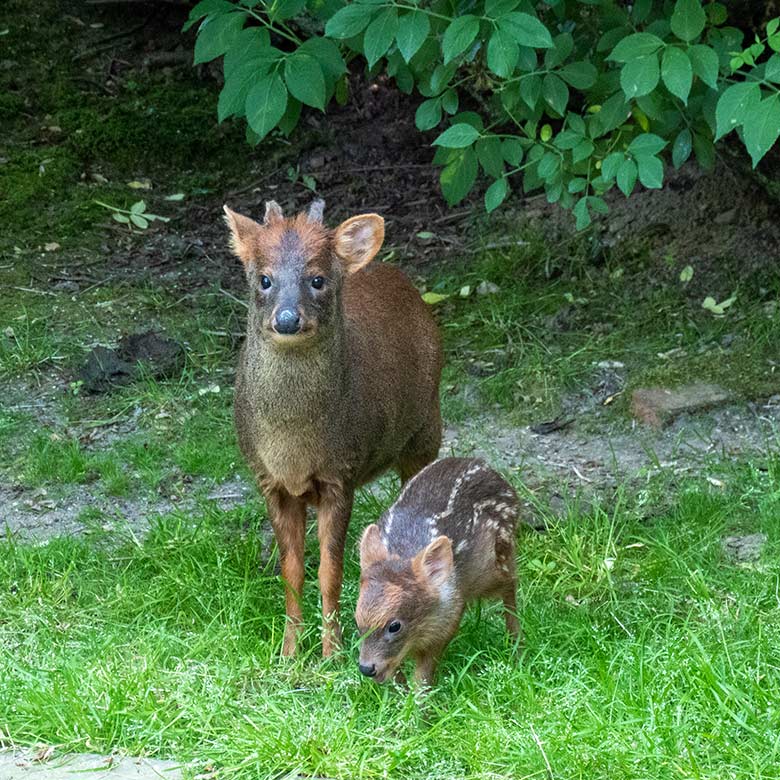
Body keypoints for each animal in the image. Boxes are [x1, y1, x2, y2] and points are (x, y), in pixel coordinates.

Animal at [224, 198, 444, 656]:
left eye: (318, 279)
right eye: (264, 278)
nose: (288, 319)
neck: (292, 443)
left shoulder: (340, 473)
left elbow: (331, 571)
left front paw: (332, 652)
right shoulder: (269, 480)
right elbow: (292, 572)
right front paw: (289, 652)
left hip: (427, 427)